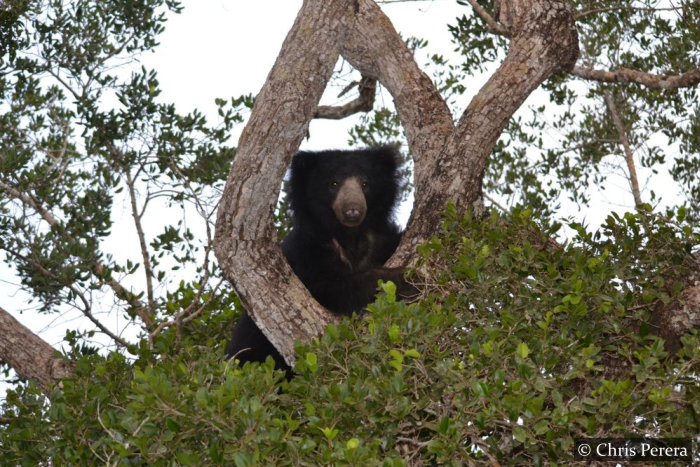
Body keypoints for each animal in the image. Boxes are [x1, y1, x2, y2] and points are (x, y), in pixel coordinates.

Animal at [226, 148, 410, 374]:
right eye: (333, 183)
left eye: (365, 183)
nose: (353, 210)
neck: (348, 236)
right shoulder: (306, 252)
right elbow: (328, 287)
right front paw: (405, 278)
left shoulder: (380, 243)